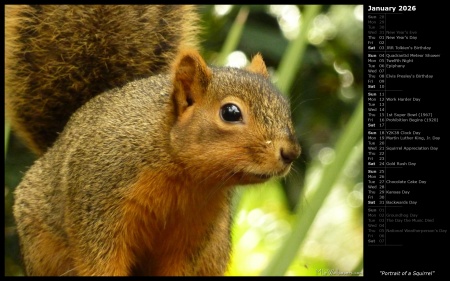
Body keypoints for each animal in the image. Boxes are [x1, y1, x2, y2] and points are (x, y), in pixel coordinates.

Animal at [5, 4, 300, 276]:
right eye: (230, 112)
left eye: (286, 107)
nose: (291, 153)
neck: (184, 176)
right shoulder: (99, 204)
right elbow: (100, 261)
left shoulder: (194, 232)